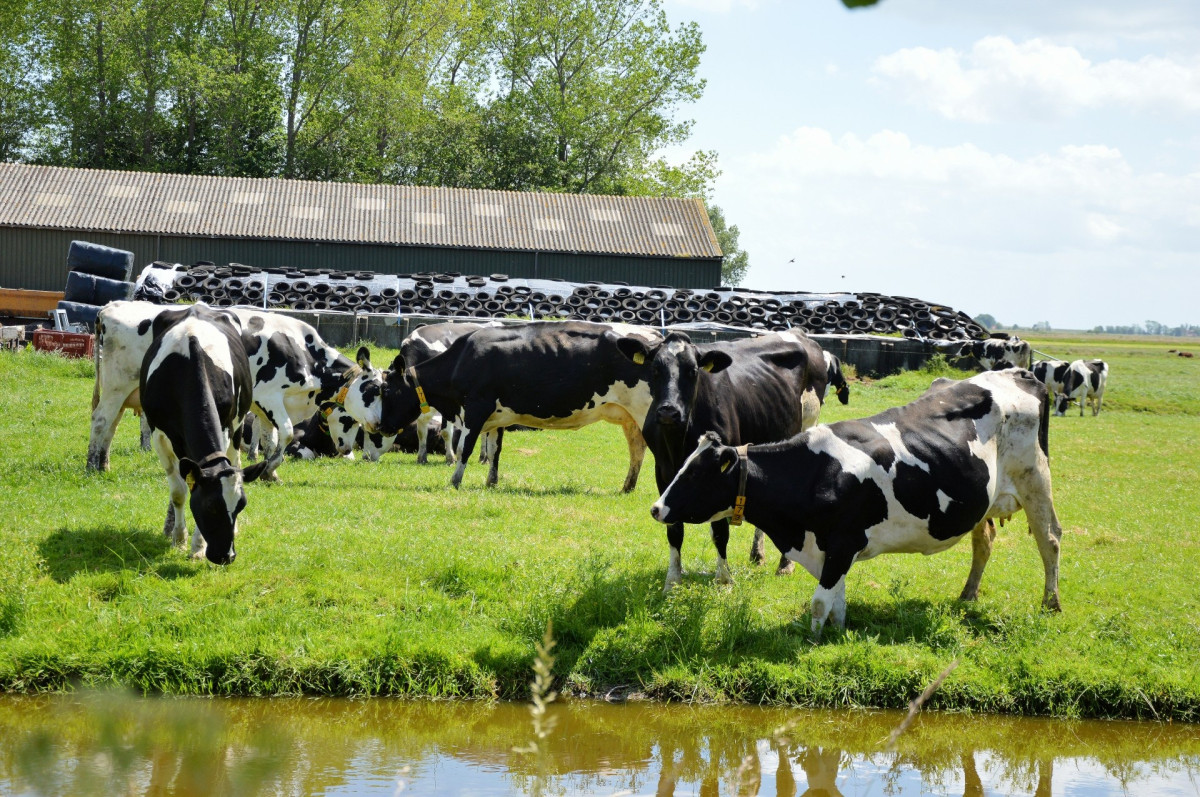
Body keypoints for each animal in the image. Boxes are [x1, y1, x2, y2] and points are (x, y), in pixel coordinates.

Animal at [88, 300, 372, 480]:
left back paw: (103, 465)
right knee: (101, 420)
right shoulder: (270, 397)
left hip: (123, 393)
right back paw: (92, 466)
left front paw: (267, 468)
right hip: (116, 386)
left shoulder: (262, 406)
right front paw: (269, 468)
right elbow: (286, 433)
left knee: (111, 424)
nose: (347, 450)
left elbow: (268, 437)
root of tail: (109, 308)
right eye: (350, 419)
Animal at [138, 303, 270, 559]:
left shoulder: (226, 427)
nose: (226, 556)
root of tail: (197, 305)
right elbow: (179, 492)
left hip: (238, 426)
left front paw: (198, 547)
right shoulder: (159, 435)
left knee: (236, 460)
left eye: (241, 505)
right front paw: (179, 538)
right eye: (211, 506)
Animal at [386, 321, 662, 489]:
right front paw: (491, 482)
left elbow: (465, 447)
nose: (379, 426)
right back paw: (627, 487)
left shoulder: (476, 409)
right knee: (637, 450)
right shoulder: (496, 416)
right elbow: (494, 450)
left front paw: (454, 481)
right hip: (630, 417)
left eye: (385, 391)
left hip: (644, 412)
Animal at [614, 326, 830, 588]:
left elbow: (719, 531)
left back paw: (785, 565)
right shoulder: (663, 472)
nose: (668, 411)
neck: (678, 441)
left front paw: (724, 579)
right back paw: (757, 555)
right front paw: (673, 581)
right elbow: (674, 529)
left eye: (693, 371)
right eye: (654, 369)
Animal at [652, 367, 1065, 633]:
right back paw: (967, 595)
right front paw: (837, 638)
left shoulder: (841, 544)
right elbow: (836, 603)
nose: (657, 508)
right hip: (985, 500)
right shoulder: (833, 550)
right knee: (985, 540)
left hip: (1035, 479)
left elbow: (820, 604)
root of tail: (1021, 373)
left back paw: (1050, 605)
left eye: (696, 474)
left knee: (1050, 540)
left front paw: (812, 642)